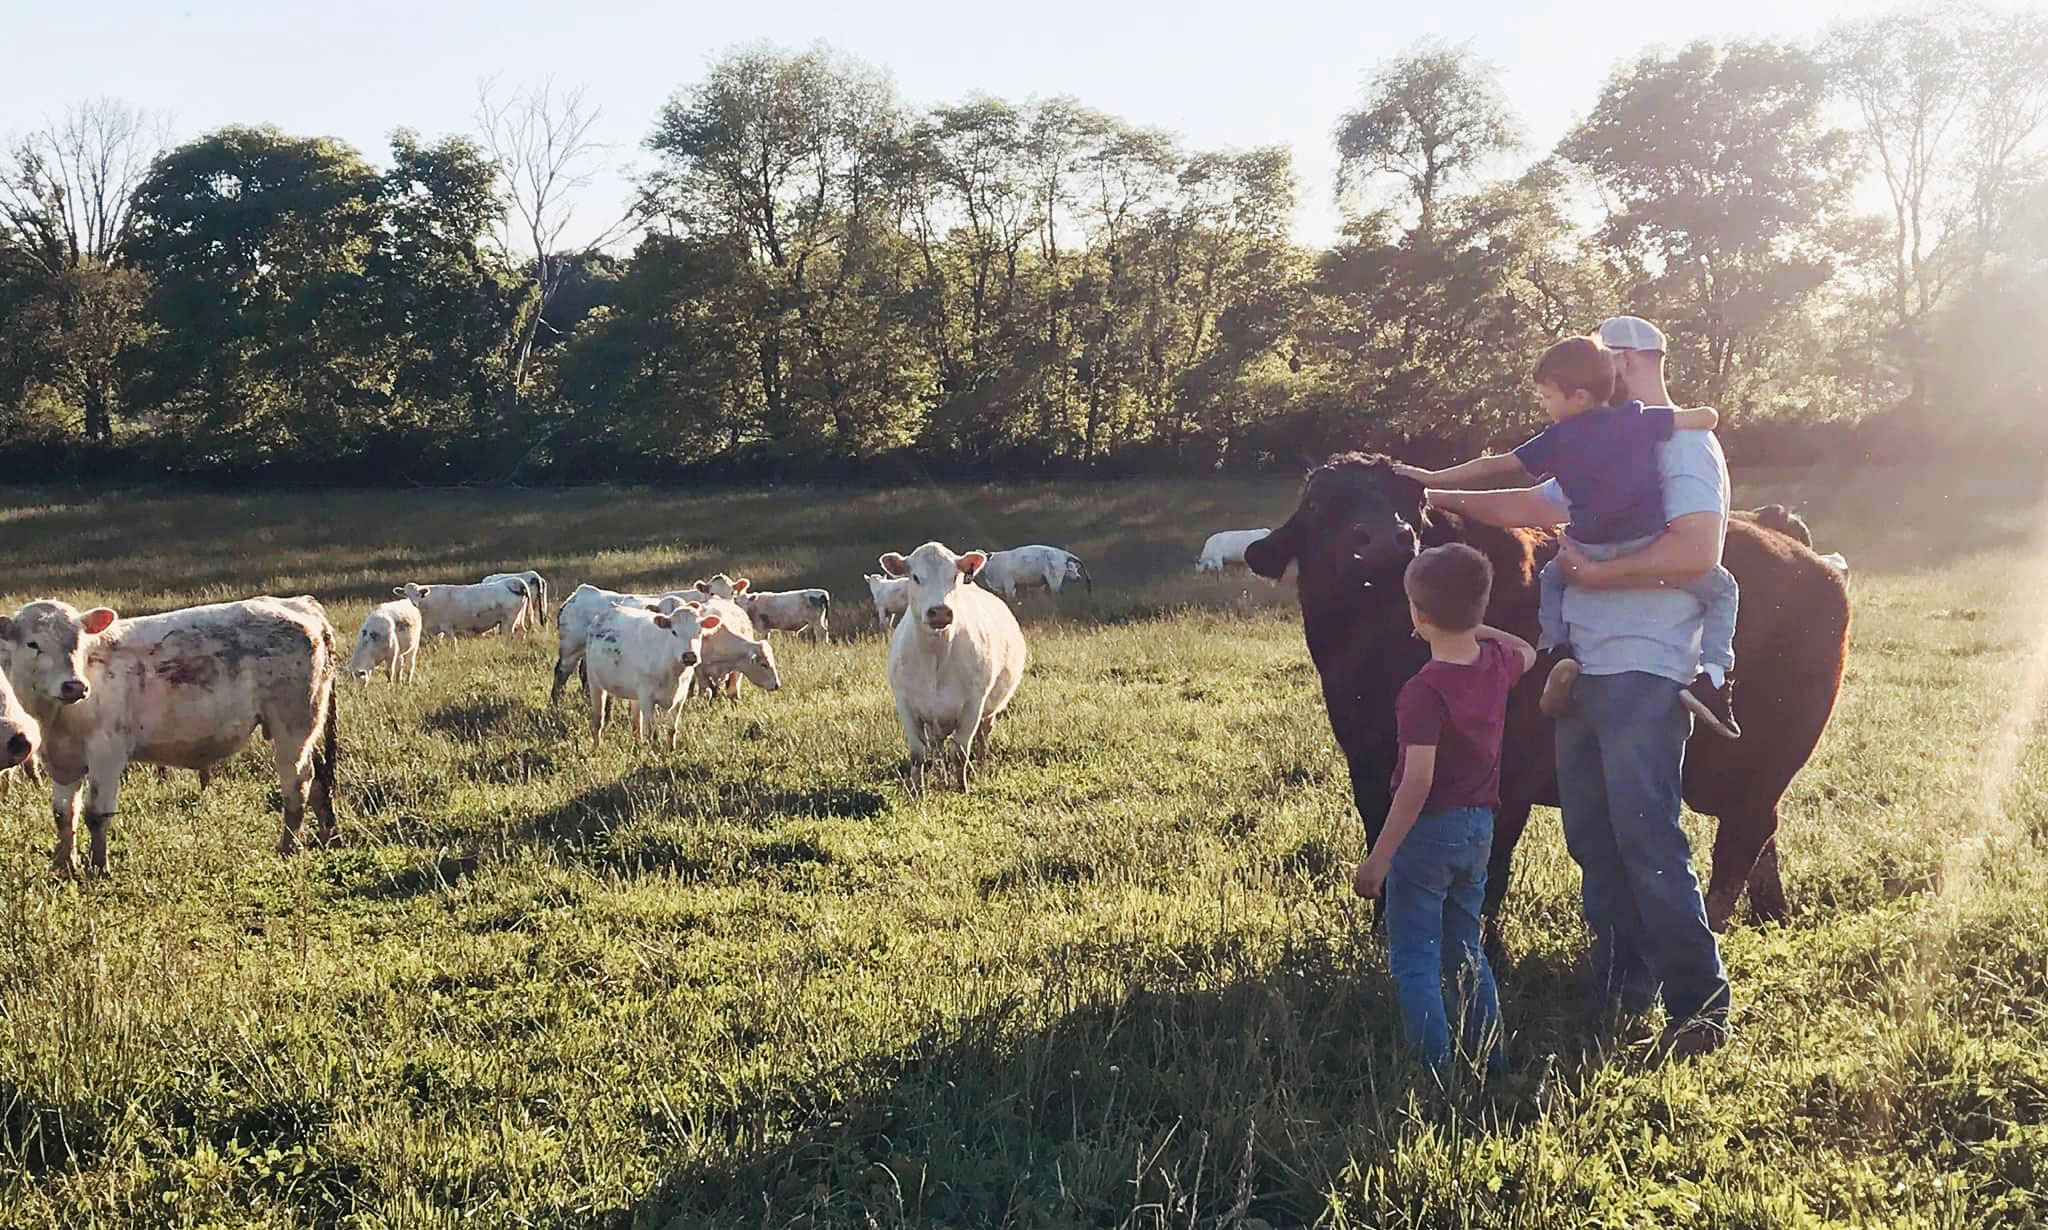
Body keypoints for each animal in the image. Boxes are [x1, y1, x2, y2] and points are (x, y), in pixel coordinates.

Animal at [0, 597, 339, 871]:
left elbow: (96, 814)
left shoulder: (107, 754)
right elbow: (63, 814)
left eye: (80, 642)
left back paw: (288, 848)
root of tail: (299, 604)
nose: (74, 686)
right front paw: (63, 865)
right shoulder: (62, 761)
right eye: (32, 644)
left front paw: (98, 868)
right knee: (320, 778)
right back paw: (327, 836)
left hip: (292, 727)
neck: (55, 717)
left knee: (298, 783)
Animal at [397, 581, 528, 642]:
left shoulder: (447, 626)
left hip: (509, 620)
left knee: (509, 635)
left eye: (418, 594)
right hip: (517, 619)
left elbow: (453, 643)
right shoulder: (435, 630)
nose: (415, 603)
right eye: (406, 595)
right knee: (522, 631)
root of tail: (511, 582)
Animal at [585, 597, 720, 744]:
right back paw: (597, 746)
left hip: (635, 695)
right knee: (598, 721)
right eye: (674, 632)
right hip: (595, 683)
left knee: (636, 724)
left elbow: (672, 731)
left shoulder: (680, 698)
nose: (689, 656)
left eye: (699, 632)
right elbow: (653, 734)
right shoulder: (647, 698)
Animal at [876, 540, 1024, 789]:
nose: (940, 611)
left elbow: (960, 752)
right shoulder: (905, 704)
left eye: (955, 576)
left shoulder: (973, 705)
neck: (935, 658)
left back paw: (979, 765)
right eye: (915, 577)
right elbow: (918, 754)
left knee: (982, 735)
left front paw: (962, 787)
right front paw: (918, 790)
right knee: (937, 747)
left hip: (990, 708)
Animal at [1245, 456, 1859, 937]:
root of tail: (1786, 538)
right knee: (1762, 831)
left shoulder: (1507, 778)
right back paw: (1770, 913)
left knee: (1744, 836)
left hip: (1758, 762)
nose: (1382, 538)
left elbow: (1490, 867)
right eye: (1318, 504)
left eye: (1412, 500)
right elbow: (1385, 841)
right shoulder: (1370, 766)